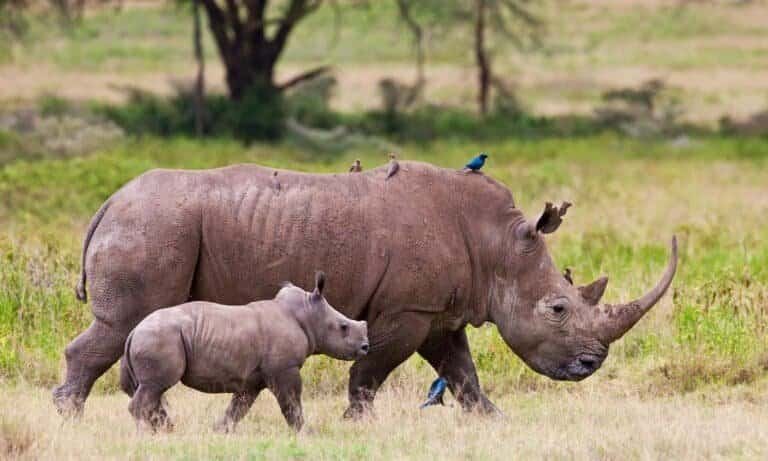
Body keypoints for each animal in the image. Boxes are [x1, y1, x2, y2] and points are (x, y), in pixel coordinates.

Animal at [120, 271, 368, 432]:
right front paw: (305, 434)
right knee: (155, 387)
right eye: (343, 327)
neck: (307, 314)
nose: (365, 346)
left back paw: (167, 431)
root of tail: (133, 331)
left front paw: (220, 431)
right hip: (159, 337)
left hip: (154, 337)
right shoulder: (285, 368)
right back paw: (150, 434)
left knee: (153, 390)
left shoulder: (252, 377)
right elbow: (291, 402)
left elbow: (239, 407)